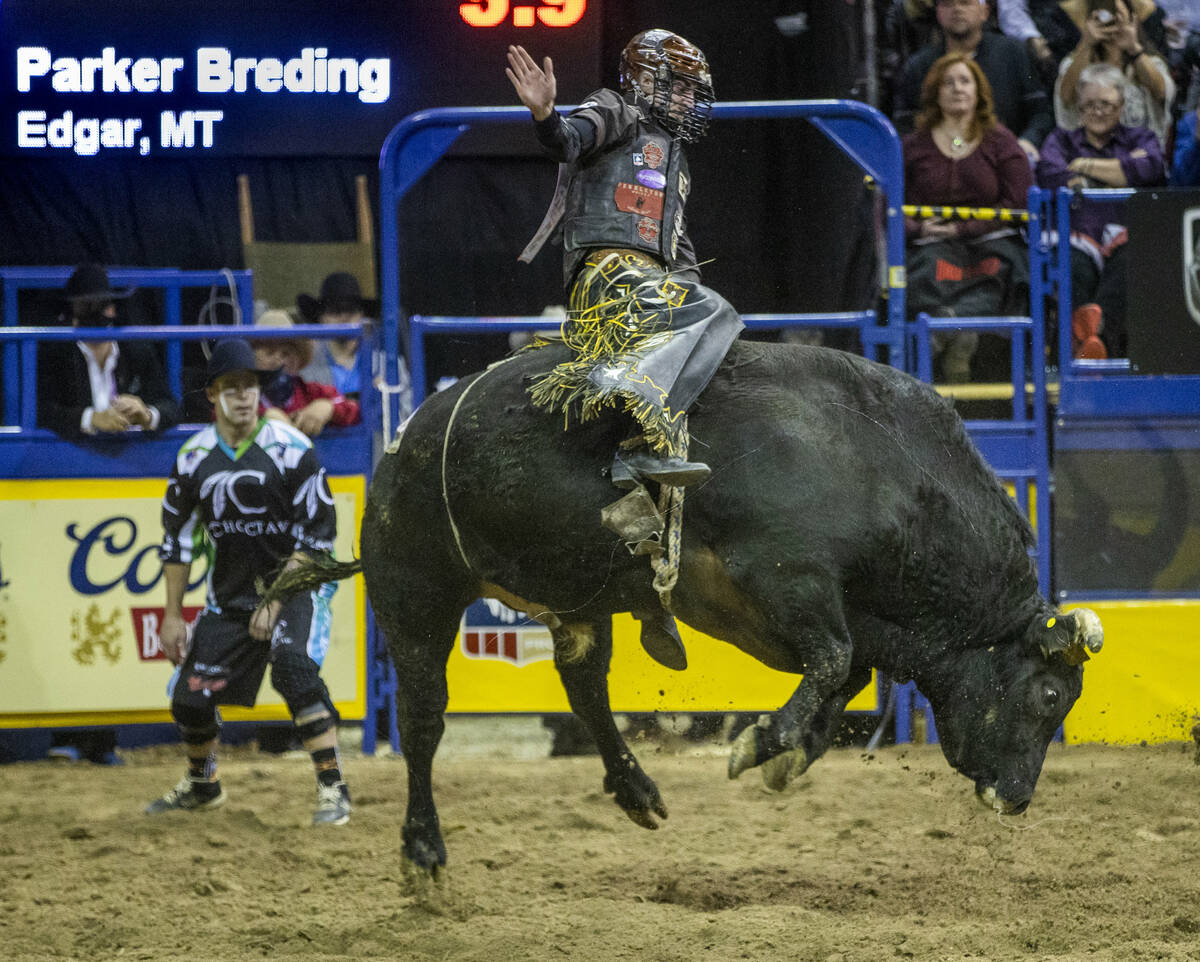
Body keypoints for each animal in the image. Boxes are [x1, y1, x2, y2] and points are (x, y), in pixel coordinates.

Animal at [267, 338, 1099, 868]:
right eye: (1047, 694)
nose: (1018, 798)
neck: (882, 473)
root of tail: (404, 437)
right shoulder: (787, 580)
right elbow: (835, 661)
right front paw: (762, 744)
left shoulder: (843, 617)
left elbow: (850, 671)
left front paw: (787, 754)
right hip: (416, 591)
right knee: (422, 722)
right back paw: (423, 851)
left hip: (575, 598)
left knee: (585, 690)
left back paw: (635, 788)